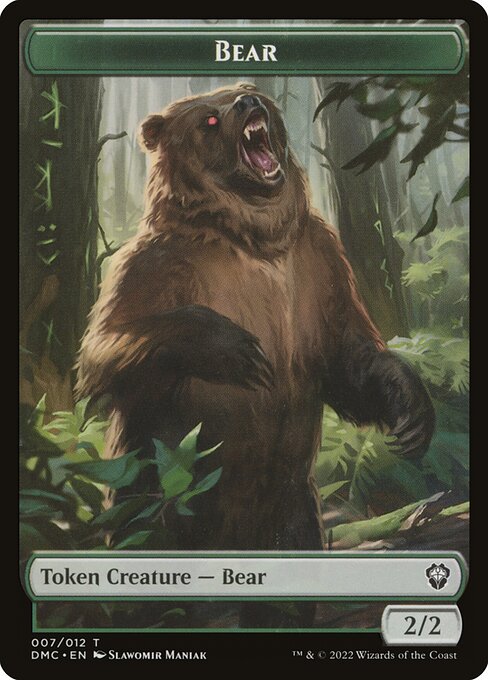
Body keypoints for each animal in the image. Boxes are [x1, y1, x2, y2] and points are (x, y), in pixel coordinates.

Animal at [76, 82, 435, 556]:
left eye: (246, 91)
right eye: (208, 118)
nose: (249, 102)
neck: (255, 238)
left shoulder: (321, 260)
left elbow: (346, 352)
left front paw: (412, 414)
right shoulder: (150, 266)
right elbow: (104, 349)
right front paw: (240, 351)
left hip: (293, 508)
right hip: (157, 497)